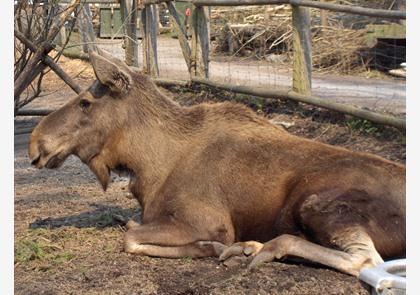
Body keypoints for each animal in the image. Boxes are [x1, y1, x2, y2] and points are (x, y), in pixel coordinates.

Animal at [28, 49, 404, 278]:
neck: (149, 165)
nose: (35, 142)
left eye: (85, 102)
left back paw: (260, 248)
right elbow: (130, 228)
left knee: (365, 260)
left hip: (318, 205)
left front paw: (214, 247)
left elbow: (130, 239)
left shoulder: (207, 222)